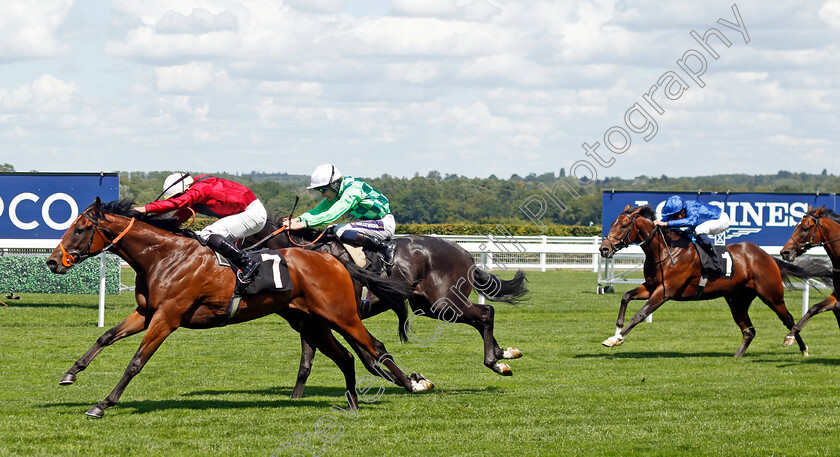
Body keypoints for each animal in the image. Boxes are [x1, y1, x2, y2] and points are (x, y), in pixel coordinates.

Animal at [46, 198, 434, 418]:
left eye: (81, 228)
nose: (52, 261)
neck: (164, 256)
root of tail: (332, 259)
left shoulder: (168, 317)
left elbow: (135, 361)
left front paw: (102, 404)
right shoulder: (146, 313)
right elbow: (106, 337)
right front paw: (70, 373)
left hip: (342, 315)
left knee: (374, 348)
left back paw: (410, 384)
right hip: (311, 321)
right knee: (347, 356)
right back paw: (352, 402)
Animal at [244, 212, 524, 398]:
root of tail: (465, 253)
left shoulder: (345, 319)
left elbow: (373, 356)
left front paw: (414, 382)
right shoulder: (312, 322)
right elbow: (306, 365)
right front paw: (295, 400)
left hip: (443, 303)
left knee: (486, 312)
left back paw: (496, 361)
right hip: (430, 305)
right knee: (480, 317)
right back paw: (503, 354)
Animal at [600, 203, 832, 356]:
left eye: (623, 226)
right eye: (612, 223)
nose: (604, 249)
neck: (666, 251)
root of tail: (767, 257)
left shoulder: (665, 290)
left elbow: (640, 314)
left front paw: (616, 339)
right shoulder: (651, 286)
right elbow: (626, 296)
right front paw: (616, 330)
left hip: (771, 295)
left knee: (788, 319)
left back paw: (801, 347)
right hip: (736, 300)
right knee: (749, 330)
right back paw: (736, 357)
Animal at [780, 205, 840, 344]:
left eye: (805, 228)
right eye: (795, 226)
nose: (785, 252)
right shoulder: (837, 295)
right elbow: (814, 308)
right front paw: (790, 335)